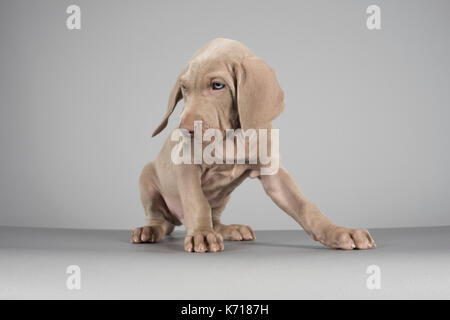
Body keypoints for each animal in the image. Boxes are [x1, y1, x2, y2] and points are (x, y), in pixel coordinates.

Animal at [131, 38, 376, 252]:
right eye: (184, 88)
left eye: (217, 85)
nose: (185, 130)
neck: (231, 136)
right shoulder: (187, 166)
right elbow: (196, 202)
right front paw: (201, 234)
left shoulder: (273, 173)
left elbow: (305, 206)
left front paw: (340, 232)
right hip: (146, 177)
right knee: (161, 220)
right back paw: (149, 230)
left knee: (214, 217)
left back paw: (228, 229)